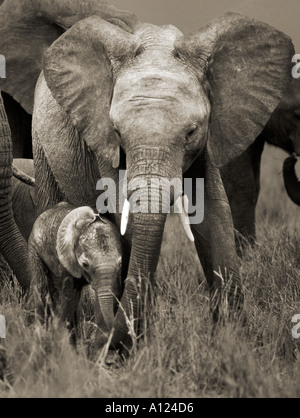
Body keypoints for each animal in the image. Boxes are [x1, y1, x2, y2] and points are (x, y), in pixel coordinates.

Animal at [27, 202, 123, 350]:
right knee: (41, 287)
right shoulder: (65, 258)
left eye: (120, 263)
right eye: (85, 264)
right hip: (34, 247)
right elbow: (69, 295)